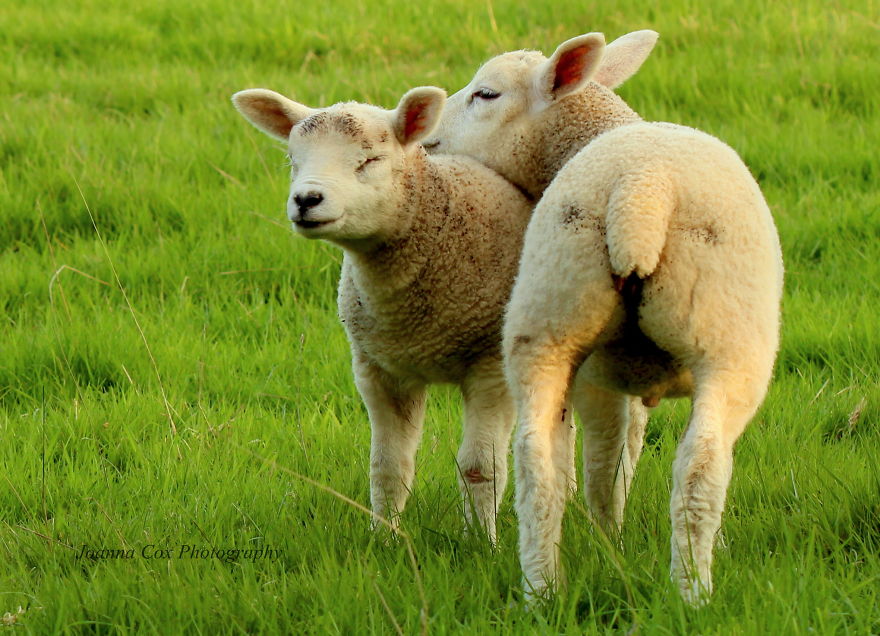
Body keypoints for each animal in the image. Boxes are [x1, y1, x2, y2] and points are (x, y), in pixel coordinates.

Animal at [231, 86, 535, 542]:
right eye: (293, 160)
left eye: (370, 160)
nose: (306, 200)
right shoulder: (380, 368)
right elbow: (387, 467)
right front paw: (385, 538)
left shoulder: (491, 367)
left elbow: (481, 468)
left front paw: (482, 544)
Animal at [426, 31, 784, 604]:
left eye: (486, 94)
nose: (427, 139)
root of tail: (641, 190)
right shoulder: (611, 374)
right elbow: (615, 458)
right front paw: (614, 538)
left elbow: (616, 453)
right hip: (725, 342)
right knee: (699, 464)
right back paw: (690, 591)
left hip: (548, 314)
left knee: (535, 462)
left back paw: (541, 590)